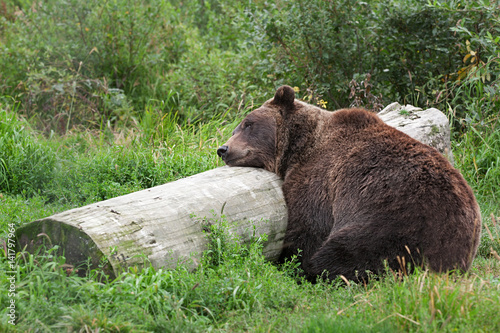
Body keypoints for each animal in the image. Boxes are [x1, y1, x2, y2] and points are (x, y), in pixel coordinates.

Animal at [217, 85, 482, 280]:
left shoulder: (319, 176)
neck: (297, 147)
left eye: (248, 124)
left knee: (349, 250)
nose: (223, 149)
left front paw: (292, 261)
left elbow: (308, 226)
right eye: (236, 127)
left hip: (394, 219)